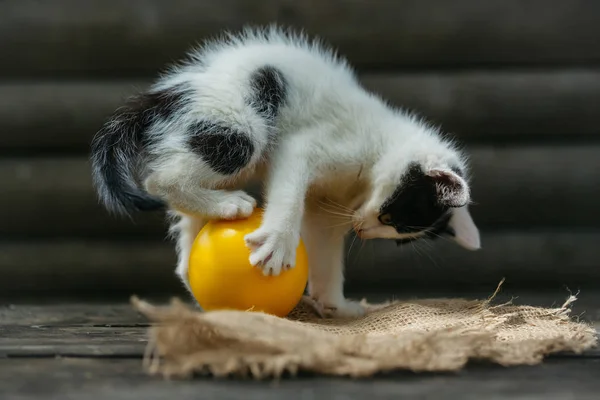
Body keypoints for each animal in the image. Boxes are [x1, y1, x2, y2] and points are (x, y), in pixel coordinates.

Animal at [91, 25, 480, 318]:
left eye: (397, 233)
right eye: (389, 216)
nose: (363, 230)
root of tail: (172, 91)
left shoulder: (327, 213)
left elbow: (325, 254)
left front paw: (336, 306)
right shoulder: (308, 145)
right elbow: (290, 189)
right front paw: (278, 243)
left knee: (184, 213)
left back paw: (192, 258)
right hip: (241, 121)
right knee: (162, 179)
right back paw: (227, 206)